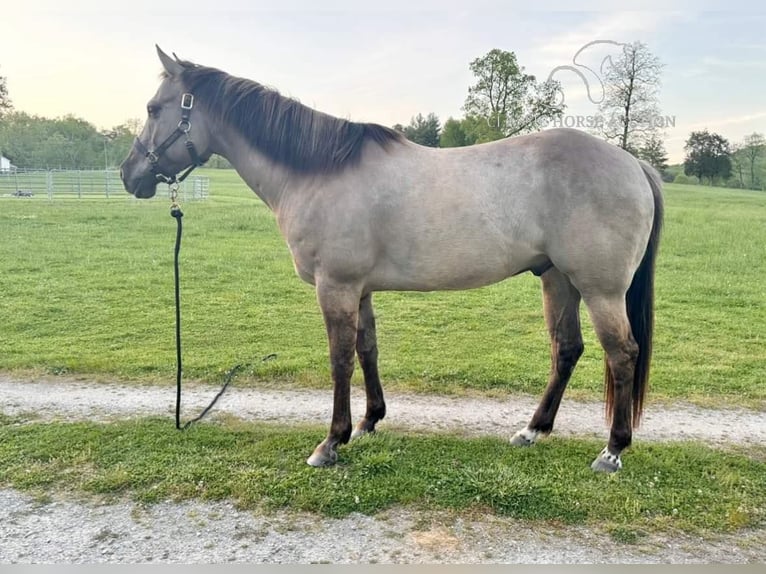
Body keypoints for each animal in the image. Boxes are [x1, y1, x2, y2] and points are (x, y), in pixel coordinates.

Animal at [121, 48, 664, 472]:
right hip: (558, 280)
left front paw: (330, 442)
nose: (129, 175)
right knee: (567, 349)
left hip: (600, 289)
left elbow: (339, 359)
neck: (318, 172)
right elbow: (367, 350)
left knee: (622, 354)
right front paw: (368, 421)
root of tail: (632, 162)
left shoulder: (335, 286)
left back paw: (612, 451)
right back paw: (532, 431)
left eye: (153, 108)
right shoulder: (358, 289)